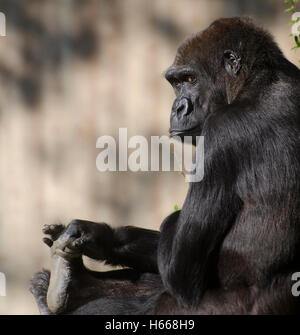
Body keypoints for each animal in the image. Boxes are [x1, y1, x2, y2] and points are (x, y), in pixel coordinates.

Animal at [31, 16, 300, 316]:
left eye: (190, 79)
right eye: (176, 82)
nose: (177, 107)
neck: (254, 81)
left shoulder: (221, 131)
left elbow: (179, 273)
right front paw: (98, 236)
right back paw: (72, 285)